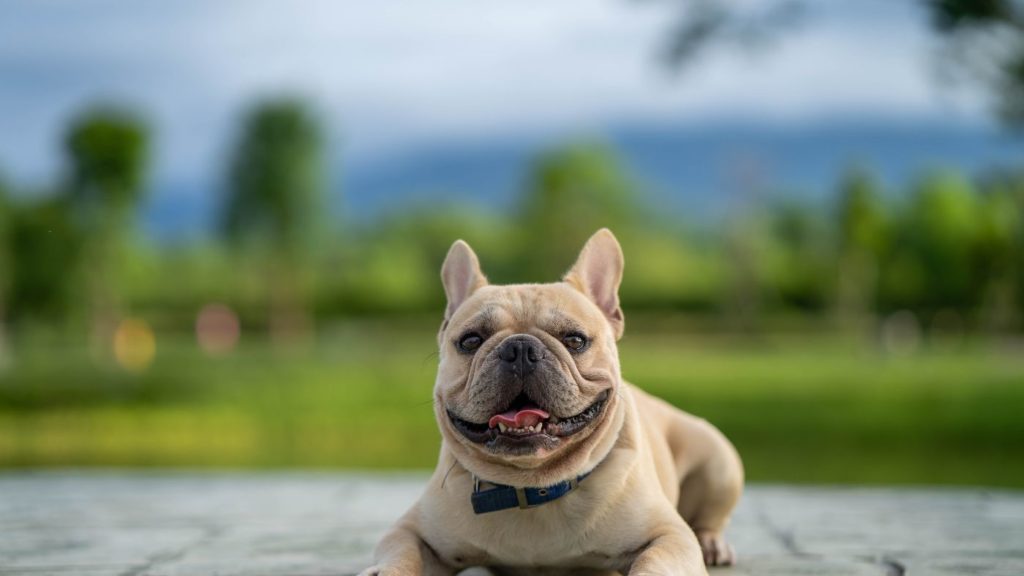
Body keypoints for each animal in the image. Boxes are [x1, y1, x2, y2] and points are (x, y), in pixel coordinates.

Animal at [362, 226, 745, 569]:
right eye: (471, 340)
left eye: (575, 340)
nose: (519, 348)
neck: (533, 486)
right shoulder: (408, 532)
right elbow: (399, 558)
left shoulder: (669, 536)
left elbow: (654, 563)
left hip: (718, 461)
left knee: (711, 518)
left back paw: (713, 543)